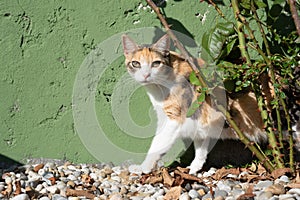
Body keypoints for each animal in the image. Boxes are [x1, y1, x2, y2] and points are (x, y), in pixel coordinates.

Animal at [122, 33, 300, 174]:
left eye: (156, 63)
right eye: (136, 63)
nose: (146, 75)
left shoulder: (173, 120)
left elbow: (157, 145)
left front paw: (143, 168)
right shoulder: (201, 121)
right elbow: (201, 147)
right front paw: (194, 168)